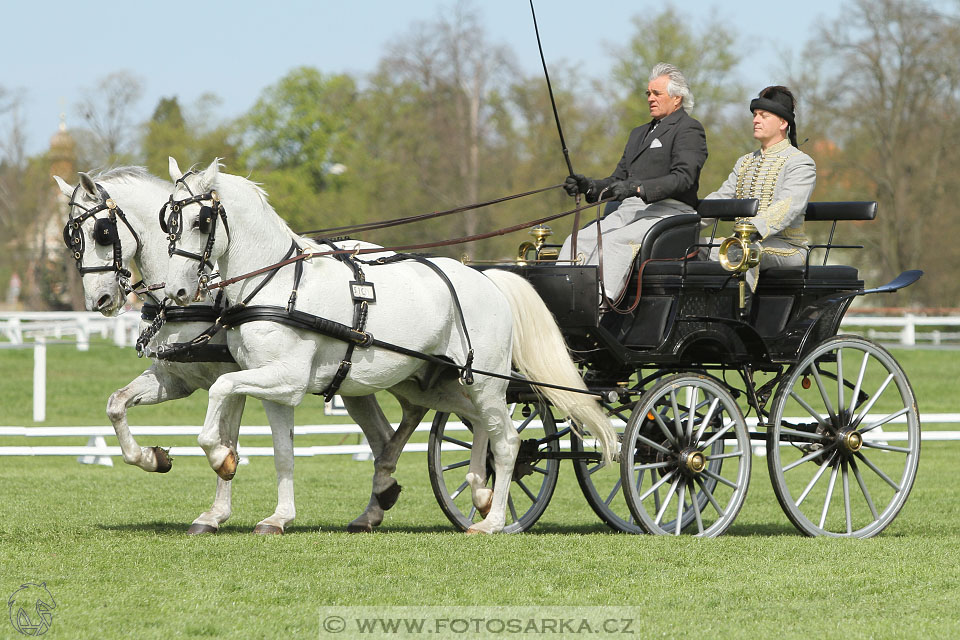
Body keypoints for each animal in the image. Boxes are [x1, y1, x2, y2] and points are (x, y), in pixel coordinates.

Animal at [53, 168, 404, 532]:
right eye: (72, 240)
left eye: (103, 233)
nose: (99, 300)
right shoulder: (175, 378)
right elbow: (116, 404)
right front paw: (153, 458)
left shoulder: (234, 377)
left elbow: (226, 439)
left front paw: (215, 507)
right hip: (356, 384)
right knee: (383, 435)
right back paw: (380, 500)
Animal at [162, 158, 620, 532]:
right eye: (169, 222)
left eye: (201, 221)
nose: (176, 291)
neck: (278, 285)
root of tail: (489, 279)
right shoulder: (273, 385)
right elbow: (283, 451)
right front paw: (276, 517)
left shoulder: (285, 378)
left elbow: (220, 390)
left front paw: (221, 458)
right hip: (439, 384)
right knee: (479, 425)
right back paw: (479, 491)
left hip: (488, 382)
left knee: (506, 441)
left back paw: (491, 522)